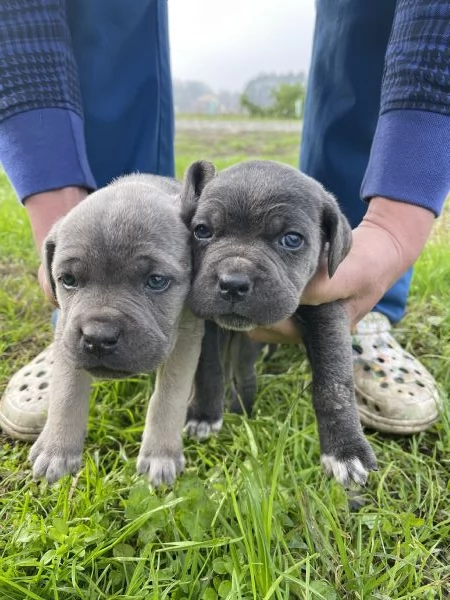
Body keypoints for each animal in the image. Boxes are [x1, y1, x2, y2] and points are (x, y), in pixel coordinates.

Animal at [29, 175, 203, 488]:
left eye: (156, 281)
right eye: (68, 280)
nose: (98, 337)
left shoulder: (185, 335)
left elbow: (168, 396)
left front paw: (160, 453)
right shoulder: (67, 333)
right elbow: (66, 390)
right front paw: (57, 449)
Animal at [181, 159, 378, 488]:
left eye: (292, 239)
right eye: (202, 231)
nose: (233, 283)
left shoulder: (326, 311)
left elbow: (334, 383)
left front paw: (346, 450)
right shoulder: (205, 322)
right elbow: (208, 368)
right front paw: (204, 415)